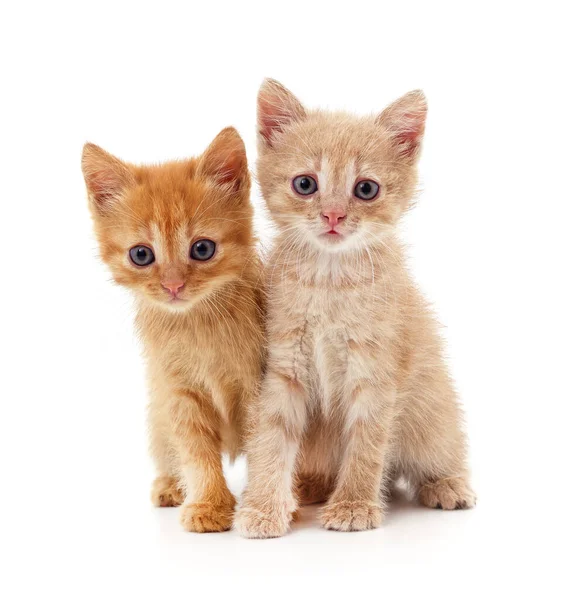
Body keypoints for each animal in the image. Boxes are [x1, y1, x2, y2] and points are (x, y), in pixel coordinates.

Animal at [82, 129, 264, 532]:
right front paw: (210, 504)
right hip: (157, 411)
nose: (173, 286)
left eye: (202, 248)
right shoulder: (179, 392)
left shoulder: (259, 385)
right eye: (141, 255)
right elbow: (196, 452)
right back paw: (170, 486)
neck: (198, 323)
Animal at [234, 81, 474, 540]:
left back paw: (448, 484)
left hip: (432, 416)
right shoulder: (284, 367)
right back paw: (310, 488)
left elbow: (367, 442)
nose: (333, 214)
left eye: (366, 189)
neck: (329, 282)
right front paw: (263, 507)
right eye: (305, 184)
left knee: (441, 450)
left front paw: (354, 505)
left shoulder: (376, 371)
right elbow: (271, 436)